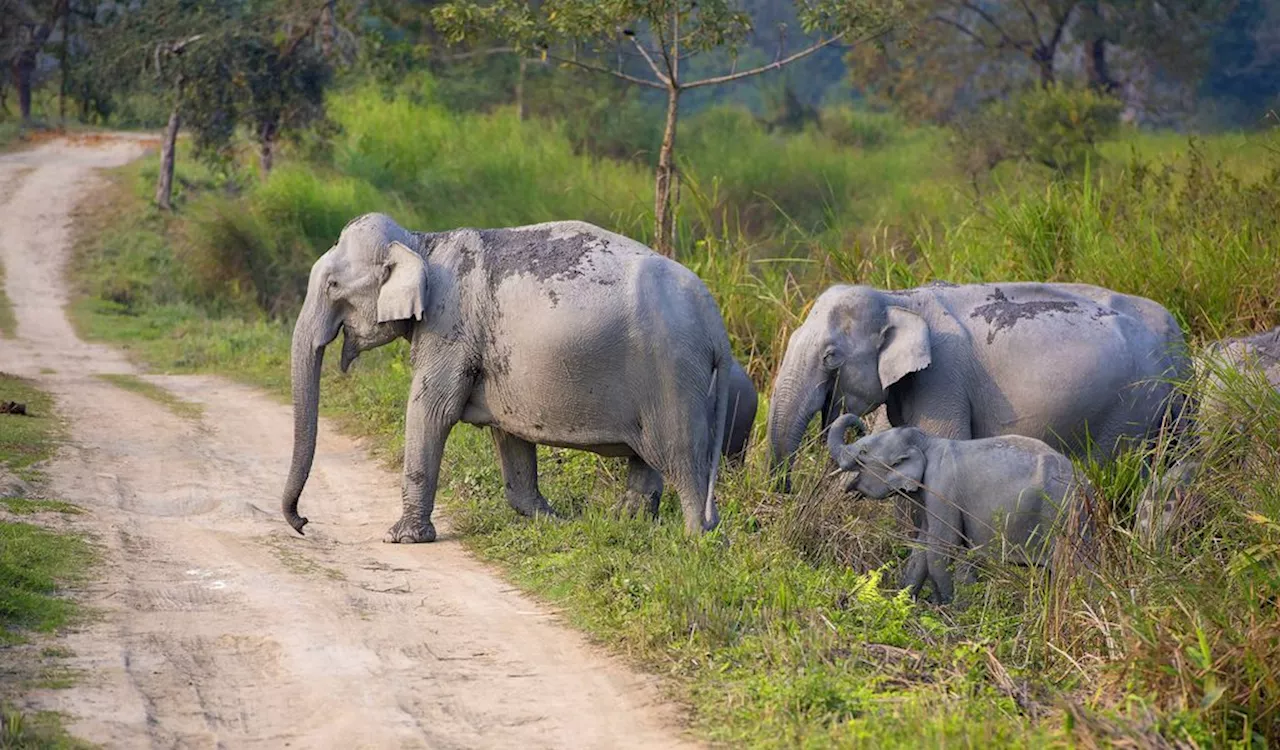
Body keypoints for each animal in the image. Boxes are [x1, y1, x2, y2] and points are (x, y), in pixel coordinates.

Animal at [762, 280, 1192, 483]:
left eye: (831, 356)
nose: (786, 488)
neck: (899, 297)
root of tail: (1179, 342)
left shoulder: (942, 377)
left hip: (1134, 406)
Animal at [829, 412, 1090, 604]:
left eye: (863, 453)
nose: (861, 426)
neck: (927, 441)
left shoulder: (942, 488)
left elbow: (941, 546)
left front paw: (944, 607)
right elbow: (922, 546)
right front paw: (902, 600)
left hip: (1063, 517)